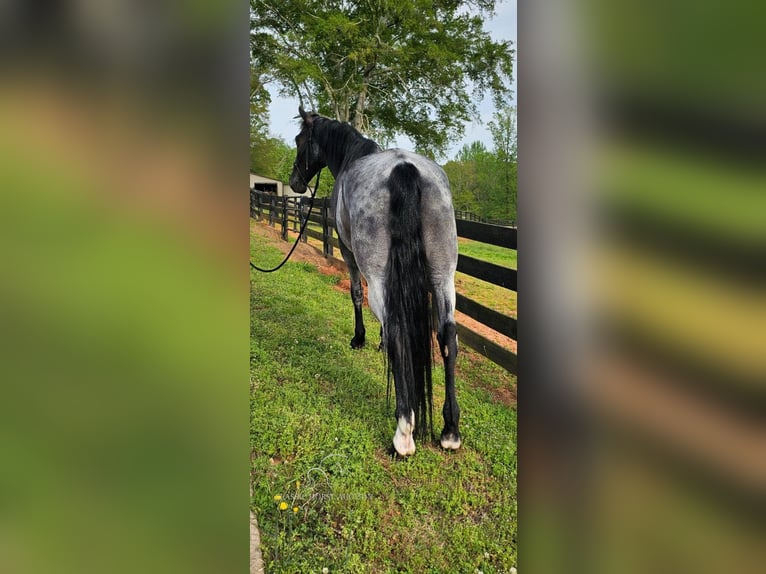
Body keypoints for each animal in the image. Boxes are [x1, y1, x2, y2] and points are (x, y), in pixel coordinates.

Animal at [290, 107, 462, 460]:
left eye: (300, 140)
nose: (294, 182)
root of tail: (404, 168)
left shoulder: (348, 252)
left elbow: (356, 294)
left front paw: (360, 338)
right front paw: (377, 341)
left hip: (379, 271)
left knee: (398, 331)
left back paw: (404, 434)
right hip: (443, 274)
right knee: (447, 337)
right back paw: (450, 430)